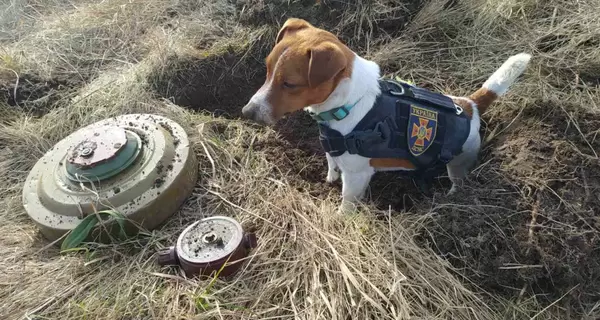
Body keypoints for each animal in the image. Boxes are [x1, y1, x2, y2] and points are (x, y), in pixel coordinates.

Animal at [241, 18, 532, 212]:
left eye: (290, 84)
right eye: (267, 70)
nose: (246, 112)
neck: (349, 103)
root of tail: (470, 105)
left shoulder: (357, 176)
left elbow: (347, 202)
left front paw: (340, 218)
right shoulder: (333, 150)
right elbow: (332, 164)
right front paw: (329, 179)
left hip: (459, 163)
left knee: (458, 181)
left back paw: (451, 198)